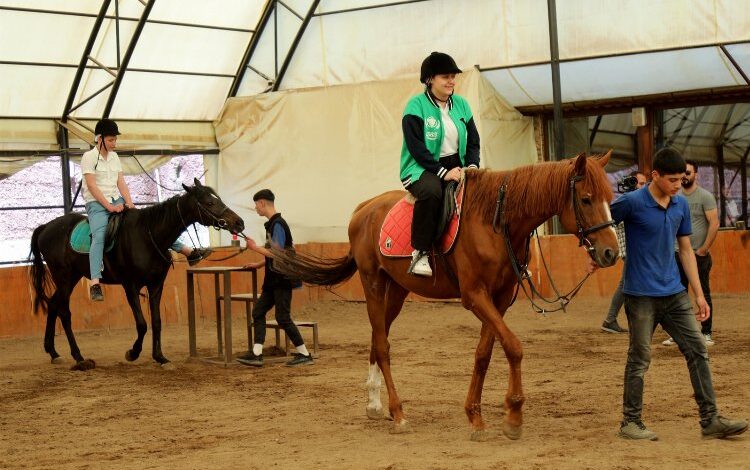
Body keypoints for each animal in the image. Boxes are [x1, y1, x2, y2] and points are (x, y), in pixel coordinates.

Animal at [29, 180, 244, 370]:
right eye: (209, 203)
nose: (239, 222)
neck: (148, 235)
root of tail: (45, 227)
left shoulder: (156, 285)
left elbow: (156, 322)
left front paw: (160, 357)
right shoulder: (130, 287)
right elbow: (142, 324)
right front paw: (132, 353)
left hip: (71, 278)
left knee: (53, 304)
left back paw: (53, 352)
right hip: (64, 278)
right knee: (64, 312)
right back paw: (79, 357)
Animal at [268, 152, 616, 438]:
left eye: (610, 197)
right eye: (586, 199)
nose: (611, 253)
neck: (494, 221)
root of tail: (363, 209)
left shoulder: (500, 299)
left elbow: (484, 353)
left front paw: (475, 416)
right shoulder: (475, 296)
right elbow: (514, 347)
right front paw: (514, 416)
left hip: (396, 291)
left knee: (377, 340)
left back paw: (374, 404)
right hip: (373, 284)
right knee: (383, 346)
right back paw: (398, 414)